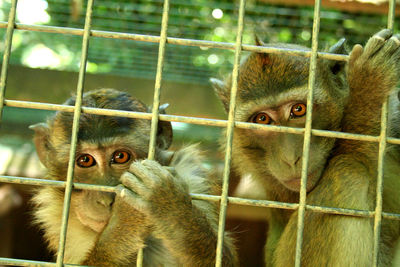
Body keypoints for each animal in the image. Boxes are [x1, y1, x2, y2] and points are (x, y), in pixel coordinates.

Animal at [32, 89, 238, 266]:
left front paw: (168, 207)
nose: (105, 199)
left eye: (120, 156)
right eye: (85, 160)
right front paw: (121, 227)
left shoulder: (191, 174)